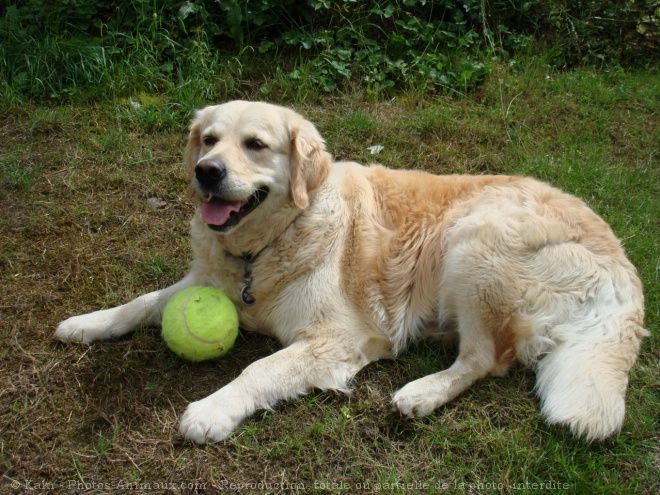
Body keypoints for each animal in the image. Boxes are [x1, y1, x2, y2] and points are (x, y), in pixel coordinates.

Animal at [55, 99, 644, 444]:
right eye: (208, 140)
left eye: (255, 145)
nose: (207, 172)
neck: (264, 247)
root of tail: (623, 265)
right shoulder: (204, 281)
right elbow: (143, 302)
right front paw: (87, 323)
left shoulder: (338, 337)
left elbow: (260, 369)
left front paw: (212, 411)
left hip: (476, 239)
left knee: (486, 359)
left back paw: (421, 393)